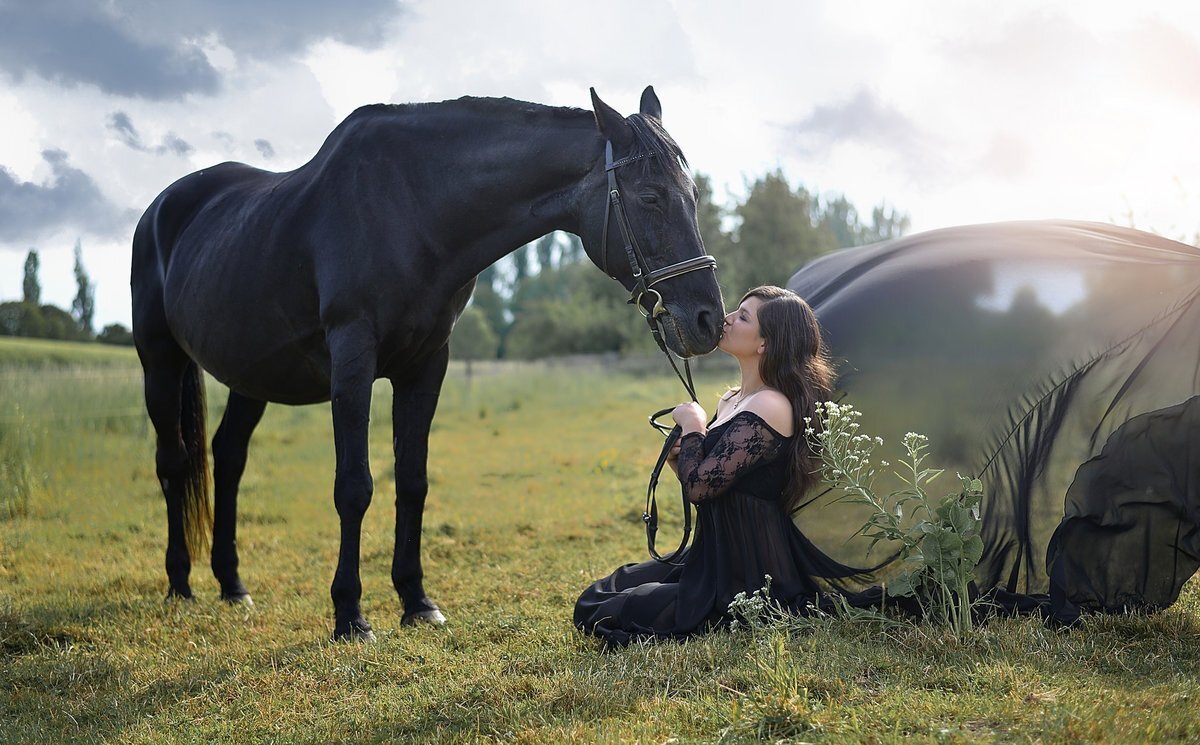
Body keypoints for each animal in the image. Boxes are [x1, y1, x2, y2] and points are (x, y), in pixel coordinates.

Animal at [136, 85, 724, 633]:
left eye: (693, 195)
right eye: (650, 197)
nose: (708, 321)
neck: (411, 208)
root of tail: (162, 207)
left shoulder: (426, 364)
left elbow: (412, 482)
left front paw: (416, 602)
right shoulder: (353, 358)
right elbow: (354, 486)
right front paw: (350, 615)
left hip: (250, 378)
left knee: (228, 457)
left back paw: (232, 585)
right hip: (159, 362)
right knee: (173, 461)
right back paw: (180, 584)